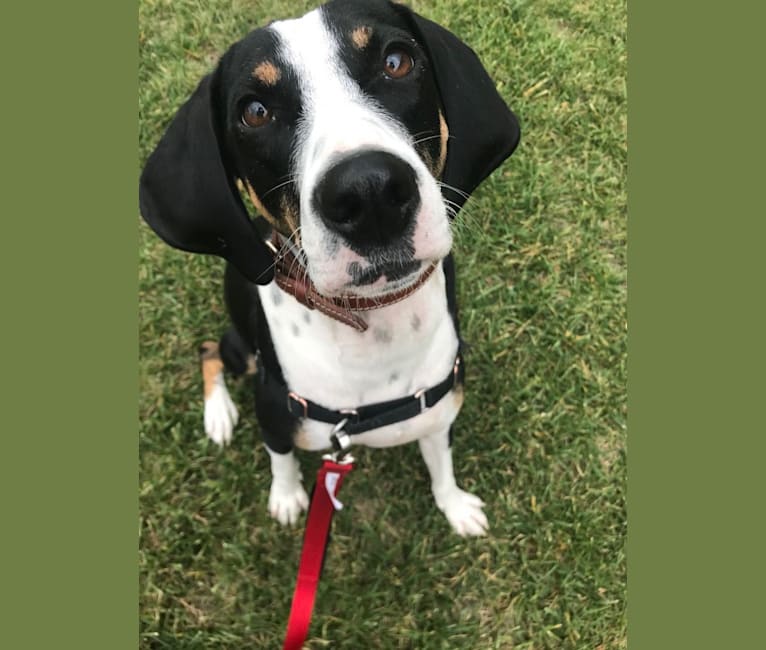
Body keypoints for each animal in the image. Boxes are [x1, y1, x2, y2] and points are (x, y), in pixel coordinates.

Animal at [139, 0, 520, 536]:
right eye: (255, 112)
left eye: (397, 61)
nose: (369, 192)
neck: (374, 335)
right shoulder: (275, 413)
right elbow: (280, 459)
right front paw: (286, 497)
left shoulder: (440, 411)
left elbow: (441, 465)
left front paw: (455, 506)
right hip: (243, 349)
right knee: (209, 349)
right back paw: (219, 414)